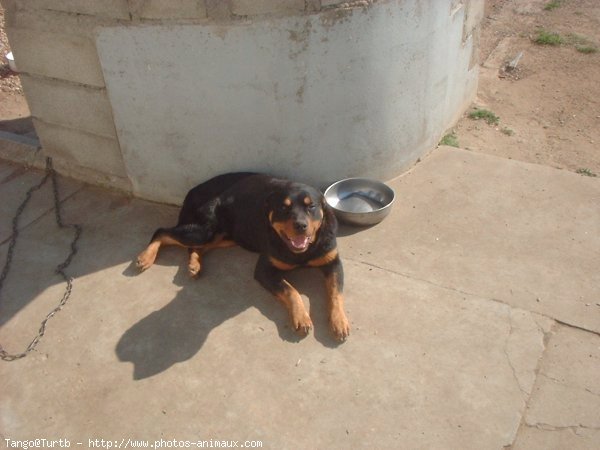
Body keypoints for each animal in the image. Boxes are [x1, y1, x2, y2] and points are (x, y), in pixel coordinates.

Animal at [136, 172, 352, 342]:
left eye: (311, 206)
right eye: (284, 208)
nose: (300, 225)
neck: (302, 251)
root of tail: (193, 190)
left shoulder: (333, 262)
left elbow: (336, 293)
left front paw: (339, 321)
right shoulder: (264, 270)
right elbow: (291, 290)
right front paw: (301, 317)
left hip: (226, 236)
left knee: (197, 247)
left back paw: (195, 264)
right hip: (205, 230)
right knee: (162, 231)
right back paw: (146, 257)